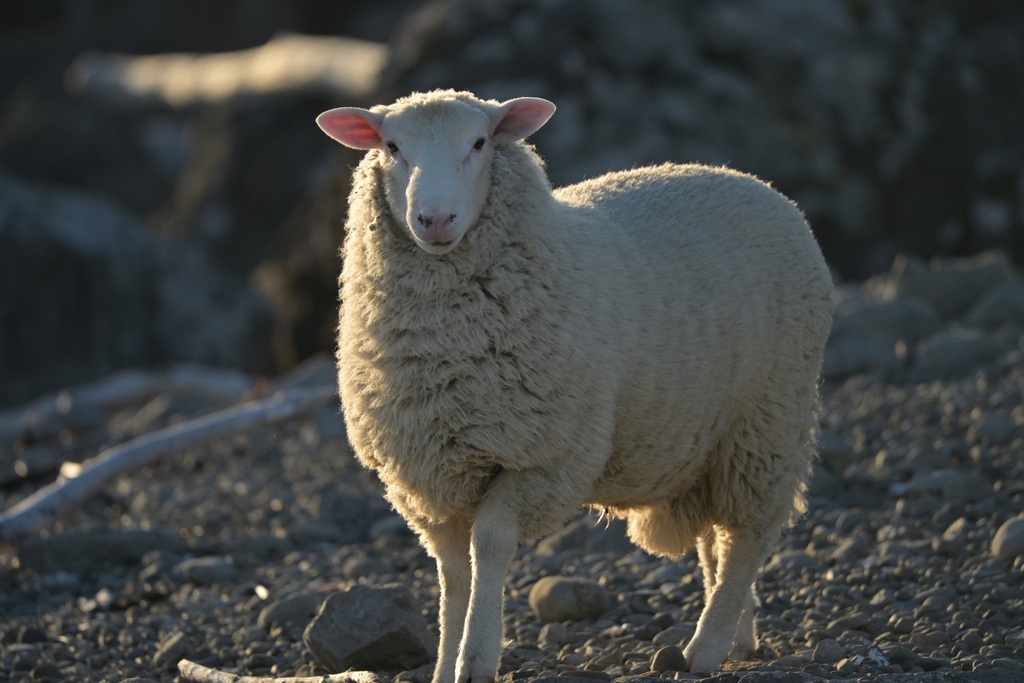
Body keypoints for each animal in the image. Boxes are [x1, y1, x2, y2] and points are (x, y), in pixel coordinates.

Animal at [316, 89, 834, 681]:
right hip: (707, 445)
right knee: (717, 544)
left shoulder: (545, 456)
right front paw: (447, 662)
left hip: (768, 421)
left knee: (747, 537)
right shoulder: (427, 471)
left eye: (480, 143)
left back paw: (705, 647)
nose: (435, 218)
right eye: (392, 146)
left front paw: (477, 657)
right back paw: (739, 637)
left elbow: (489, 545)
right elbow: (451, 572)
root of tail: (757, 183)